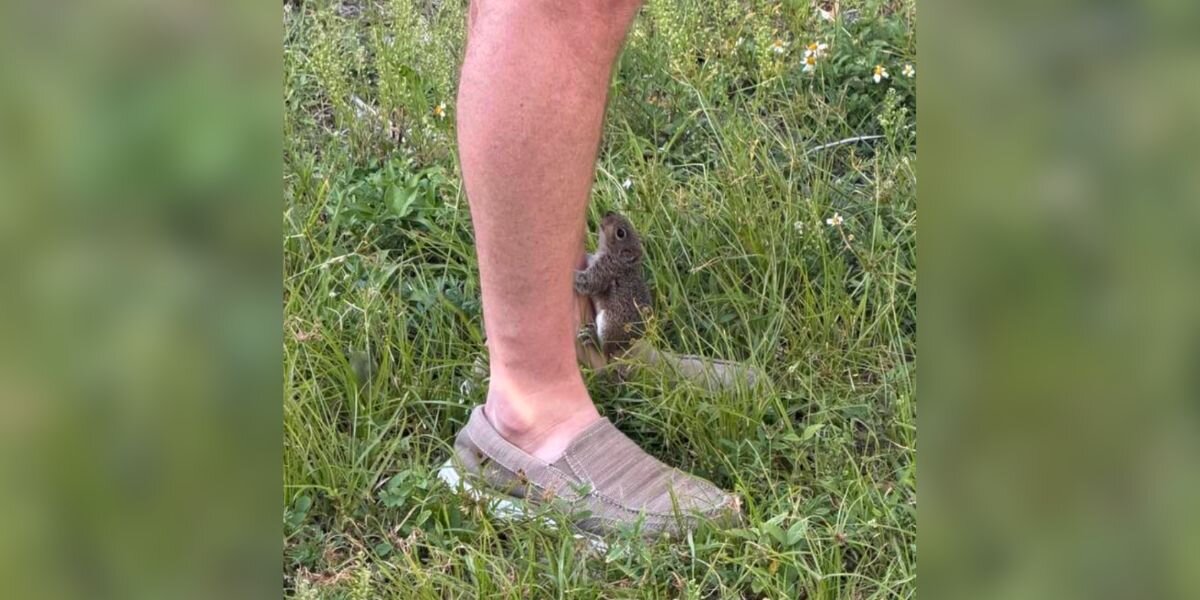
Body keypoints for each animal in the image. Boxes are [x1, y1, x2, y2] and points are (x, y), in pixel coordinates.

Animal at [574, 212, 653, 359]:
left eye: (620, 233)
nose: (608, 212)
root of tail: (625, 346)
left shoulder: (606, 270)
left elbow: (586, 282)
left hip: (609, 323)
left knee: (605, 351)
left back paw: (593, 338)